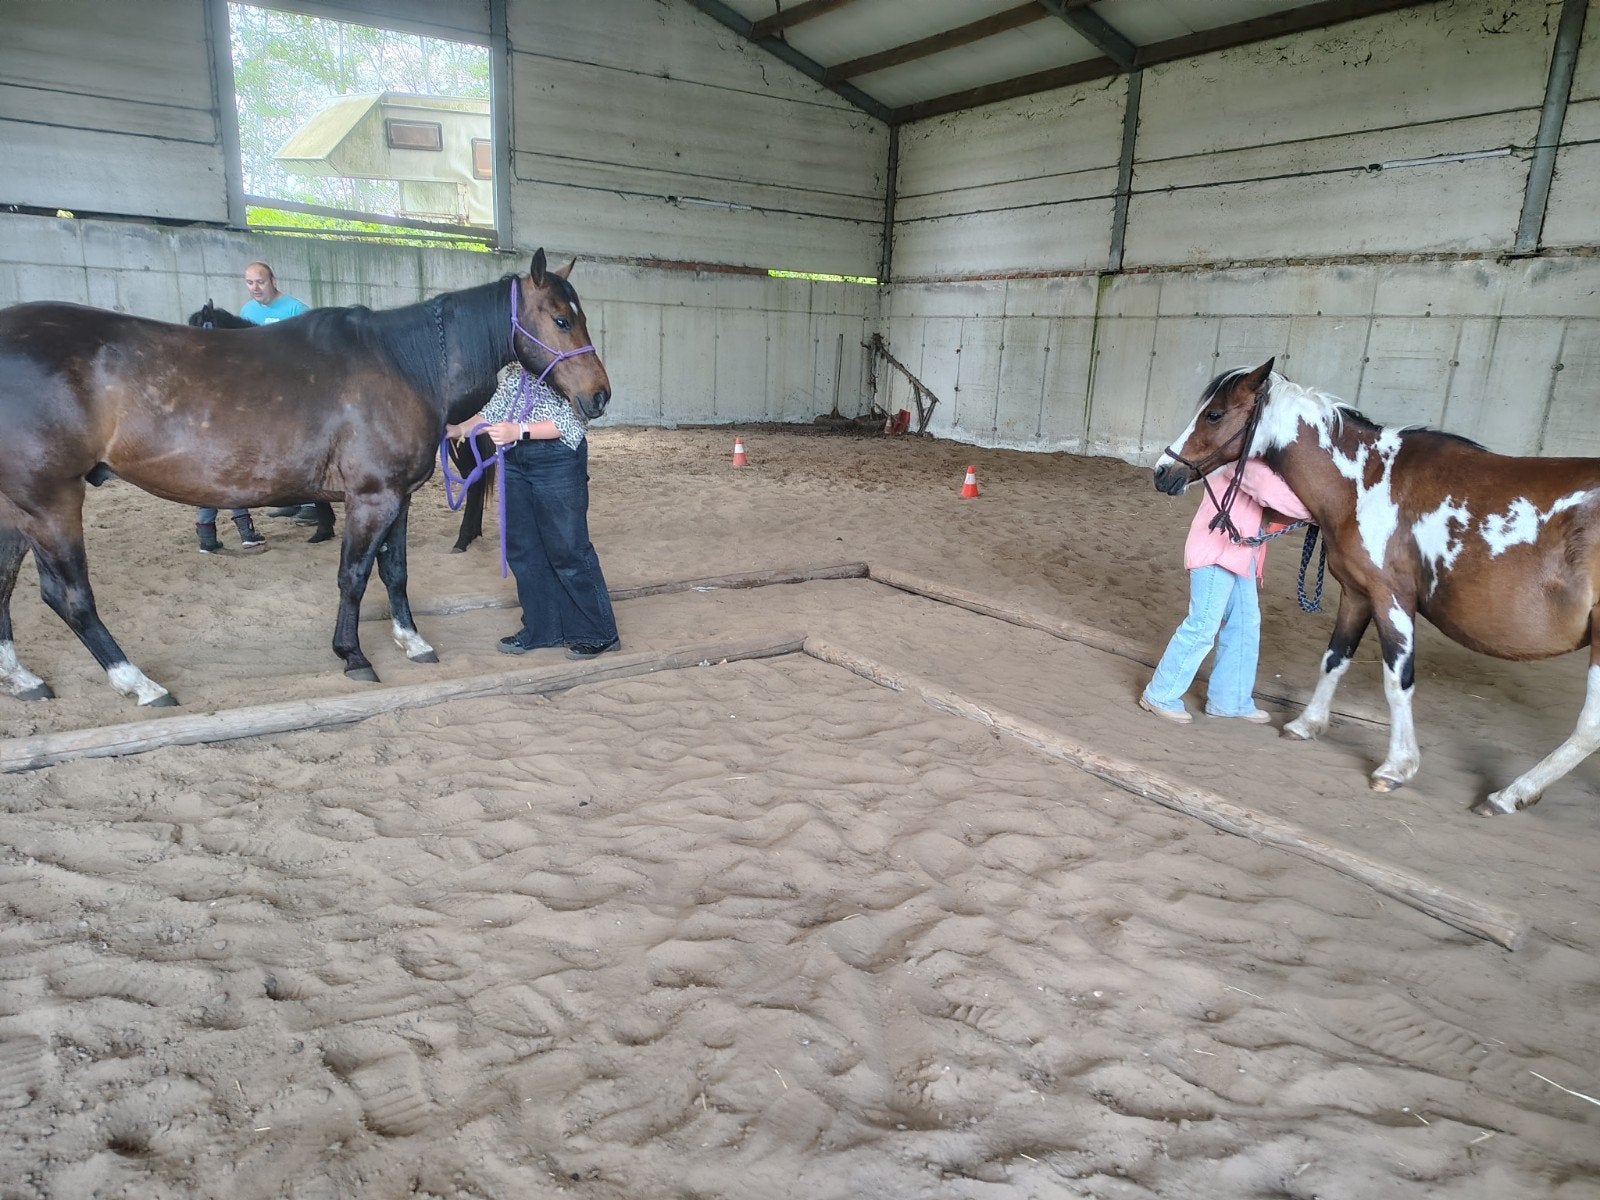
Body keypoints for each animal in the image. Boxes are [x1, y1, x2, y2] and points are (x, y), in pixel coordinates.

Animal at [0, 249, 609, 707]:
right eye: (561, 319)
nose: (599, 396)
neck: (403, 364)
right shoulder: (370, 499)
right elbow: (354, 577)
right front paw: (354, 655)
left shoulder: (398, 499)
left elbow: (396, 573)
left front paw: (411, 641)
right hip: (49, 503)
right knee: (68, 596)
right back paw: (139, 684)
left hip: (18, 510)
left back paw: (23, 678)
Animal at [1153, 359, 1600, 816]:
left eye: (1214, 414)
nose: (1162, 473)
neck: (1365, 484)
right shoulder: (1357, 593)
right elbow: (1334, 659)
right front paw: (1306, 724)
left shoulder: (1392, 598)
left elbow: (1397, 682)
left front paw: (1396, 767)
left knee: (1589, 728)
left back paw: (1508, 795)